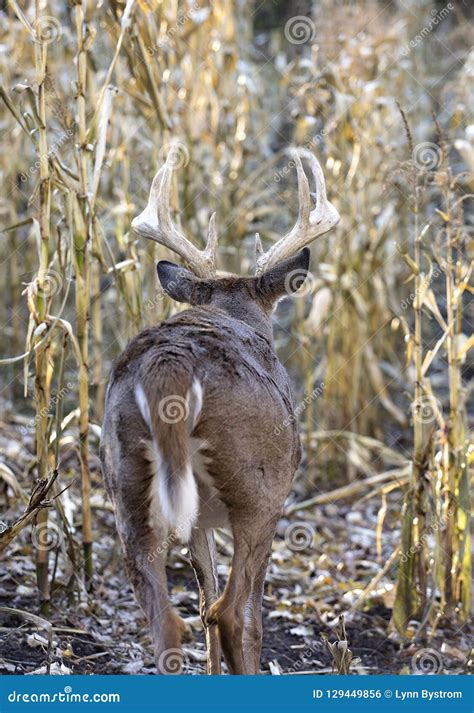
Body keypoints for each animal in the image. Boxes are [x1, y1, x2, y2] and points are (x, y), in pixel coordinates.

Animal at [100, 146, 338, 672]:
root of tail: (170, 364)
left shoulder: (198, 518)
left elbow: (203, 594)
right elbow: (241, 614)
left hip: (126, 479)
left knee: (168, 615)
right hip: (258, 485)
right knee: (232, 612)